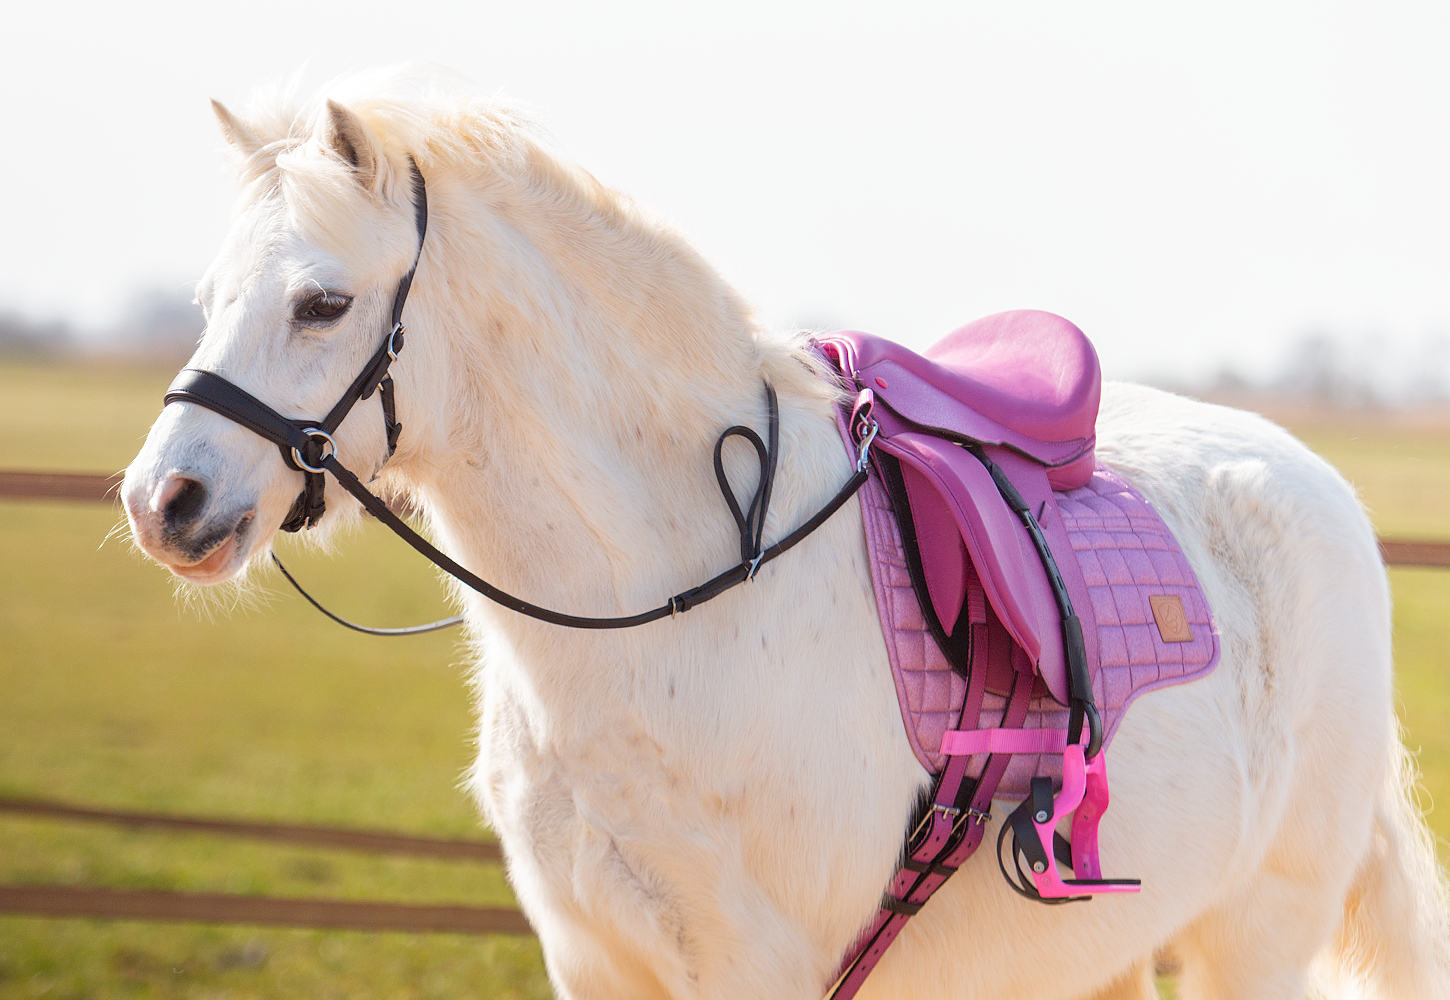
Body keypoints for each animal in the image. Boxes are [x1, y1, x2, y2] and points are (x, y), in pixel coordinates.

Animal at [122, 75, 1450, 999]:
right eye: (209, 300)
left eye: (322, 303)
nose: (162, 501)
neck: (667, 604)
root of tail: (1317, 486)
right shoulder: (594, 963)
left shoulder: (743, 967)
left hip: (1254, 936)